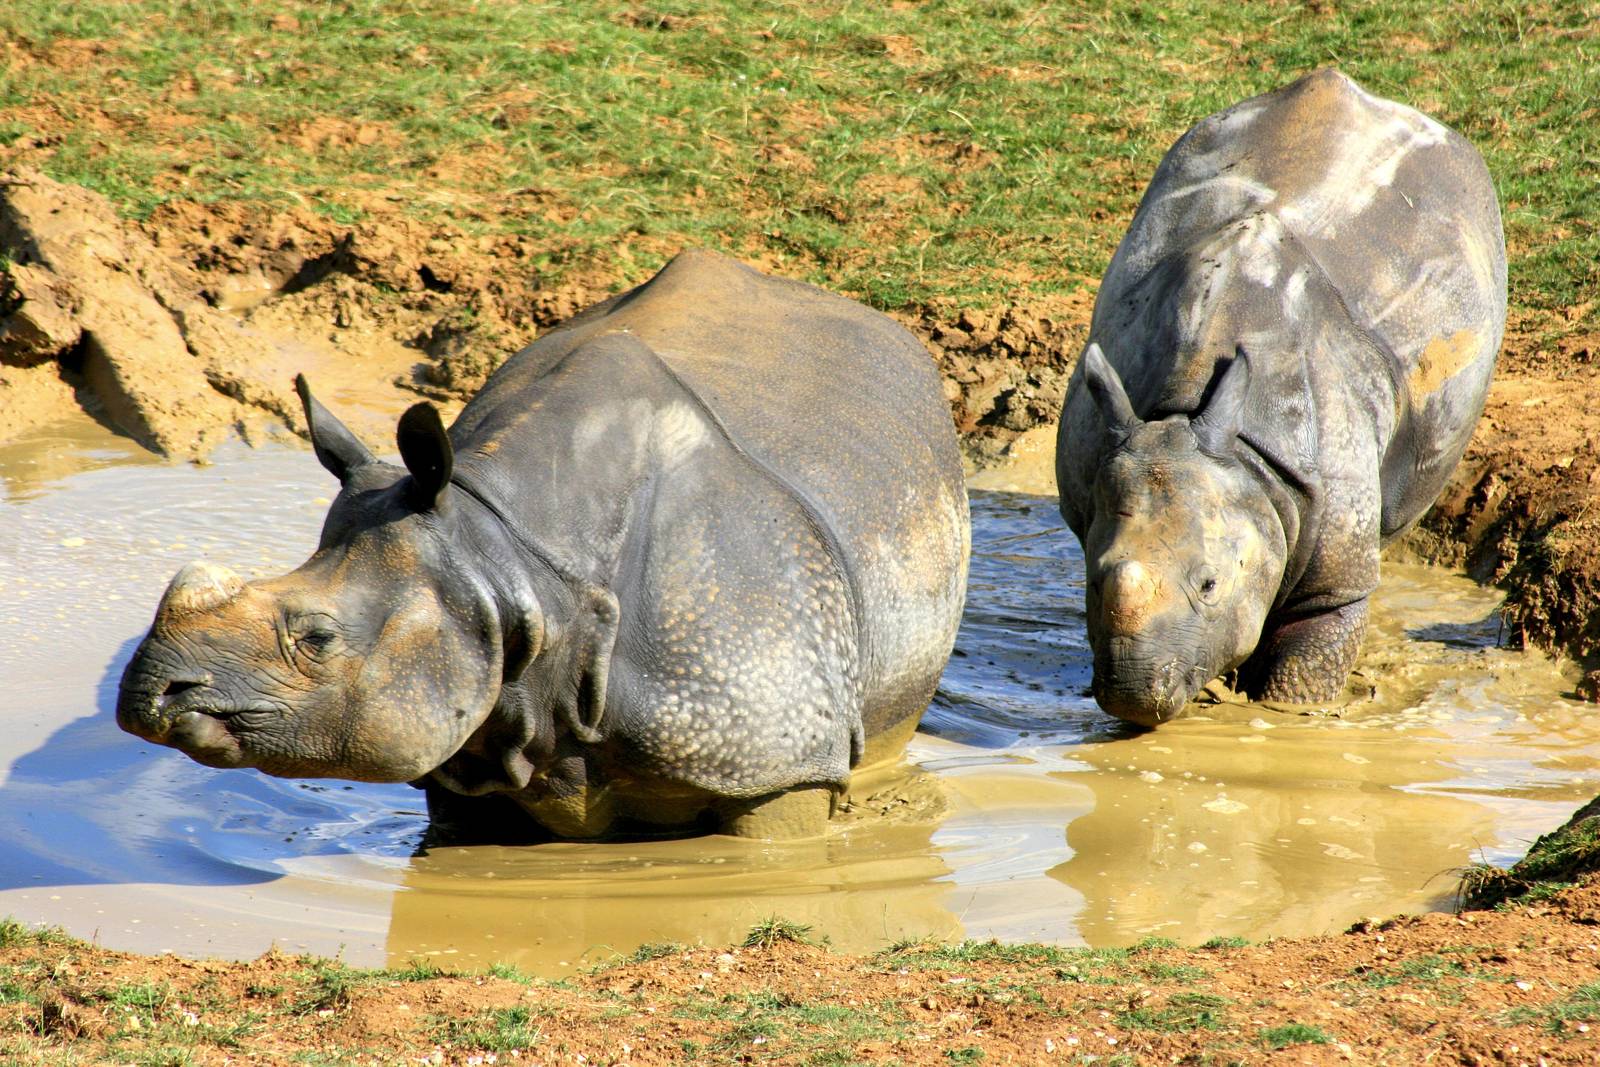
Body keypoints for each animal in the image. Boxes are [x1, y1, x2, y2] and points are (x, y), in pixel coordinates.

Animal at [1055, 69, 1506, 727]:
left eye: (1210, 585)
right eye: (1093, 583)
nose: (1133, 695)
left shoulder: (1330, 576)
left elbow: (1312, 650)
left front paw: (1287, 717)